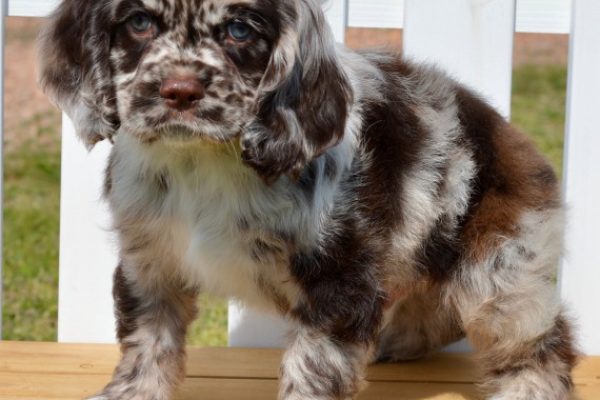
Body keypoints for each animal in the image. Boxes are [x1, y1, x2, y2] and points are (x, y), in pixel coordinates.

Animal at [38, 0, 576, 400]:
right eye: (139, 22)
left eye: (238, 30)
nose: (180, 91)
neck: (206, 161)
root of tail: (509, 133)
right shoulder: (150, 263)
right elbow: (147, 345)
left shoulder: (338, 278)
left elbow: (313, 367)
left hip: (498, 269)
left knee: (542, 342)